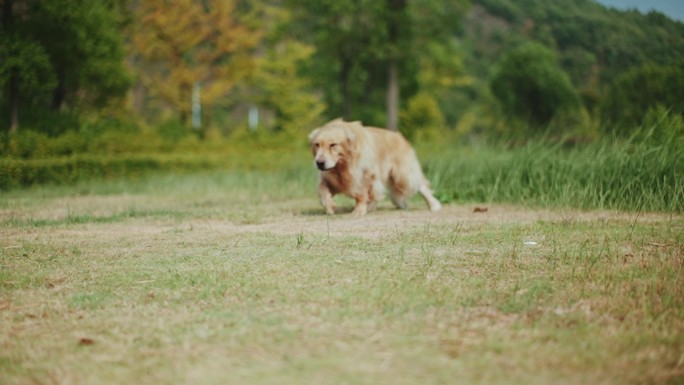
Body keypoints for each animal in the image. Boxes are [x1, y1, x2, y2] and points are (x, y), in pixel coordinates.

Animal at [308, 118, 440, 214]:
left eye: (333, 145)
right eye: (317, 144)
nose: (319, 162)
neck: (342, 166)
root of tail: (399, 135)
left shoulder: (365, 174)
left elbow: (362, 194)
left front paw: (359, 210)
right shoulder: (329, 178)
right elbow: (322, 192)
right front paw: (330, 206)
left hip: (402, 175)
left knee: (420, 185)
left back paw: (434, 205)